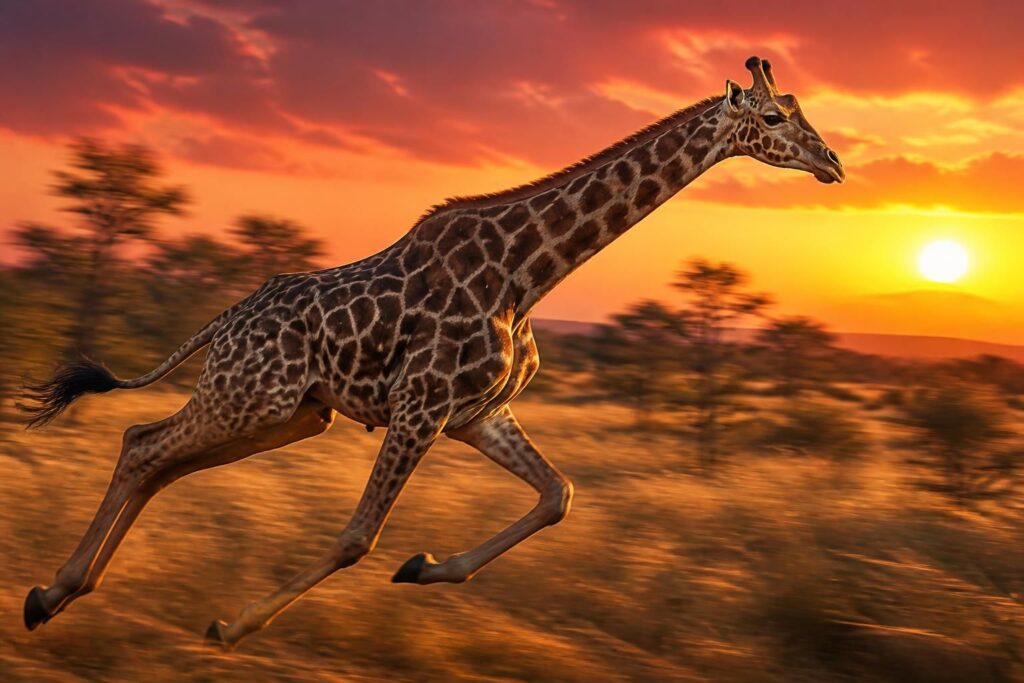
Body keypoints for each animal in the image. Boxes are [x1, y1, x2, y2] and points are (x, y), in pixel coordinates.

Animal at [21, 57, 843, 650]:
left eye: (804, 112)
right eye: (775, 116)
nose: (832, 162)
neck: (527, 274)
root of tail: (222, 321)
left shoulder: (477, 414)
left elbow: (558, 494)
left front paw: (423, 568)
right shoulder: (420, 407)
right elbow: (357, 535)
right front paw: (232, 625)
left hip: (292, 414)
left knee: (160, 459)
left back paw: (63, 595)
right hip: (250, 395)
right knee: (141, 442)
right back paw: (48, 594)